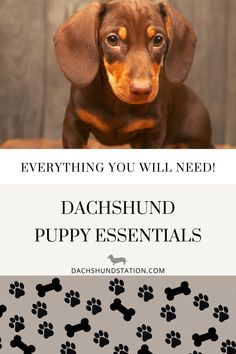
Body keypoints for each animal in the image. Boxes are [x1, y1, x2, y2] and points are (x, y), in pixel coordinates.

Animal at [54, 0, 212, 148]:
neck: (116, 103)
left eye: (158, 39)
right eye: (112, 39)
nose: (142, 90)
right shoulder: (73, 124)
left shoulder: (155, 132)